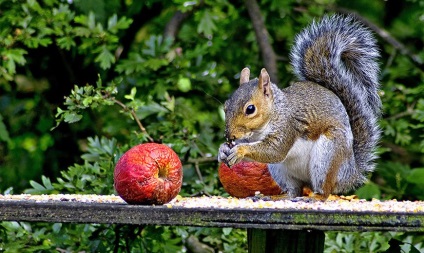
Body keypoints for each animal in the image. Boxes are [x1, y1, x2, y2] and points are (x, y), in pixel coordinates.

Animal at [219, 14, 380, 199]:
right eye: (226, 106)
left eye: (250, 109)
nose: (229, 136)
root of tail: (349, 173)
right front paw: (222, 150)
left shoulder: (288, 126)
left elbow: (275, 151)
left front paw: (240, 150)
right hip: (281, 171)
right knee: (294, 190)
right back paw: (280, 196)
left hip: (327, 157)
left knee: (324, 190)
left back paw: (316, 198)